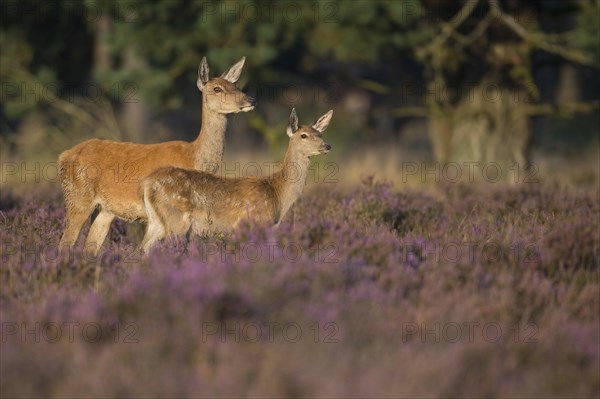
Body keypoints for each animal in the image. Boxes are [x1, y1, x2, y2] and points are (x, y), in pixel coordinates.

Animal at [56, 57, 253, 253]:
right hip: (78, 197)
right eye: (217, 88)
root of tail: (63, 156)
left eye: (235, 85)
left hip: (105, 210)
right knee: (65, 243)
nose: (250, 99)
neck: (194, 156)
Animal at [140, 107, 332, 253]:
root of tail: (147, 183)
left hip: (156, 221)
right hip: (177, 220)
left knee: (142, 249)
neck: (277, 194)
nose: (327, 145)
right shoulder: (252, 222)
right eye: (303, 135)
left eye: (320, 134)